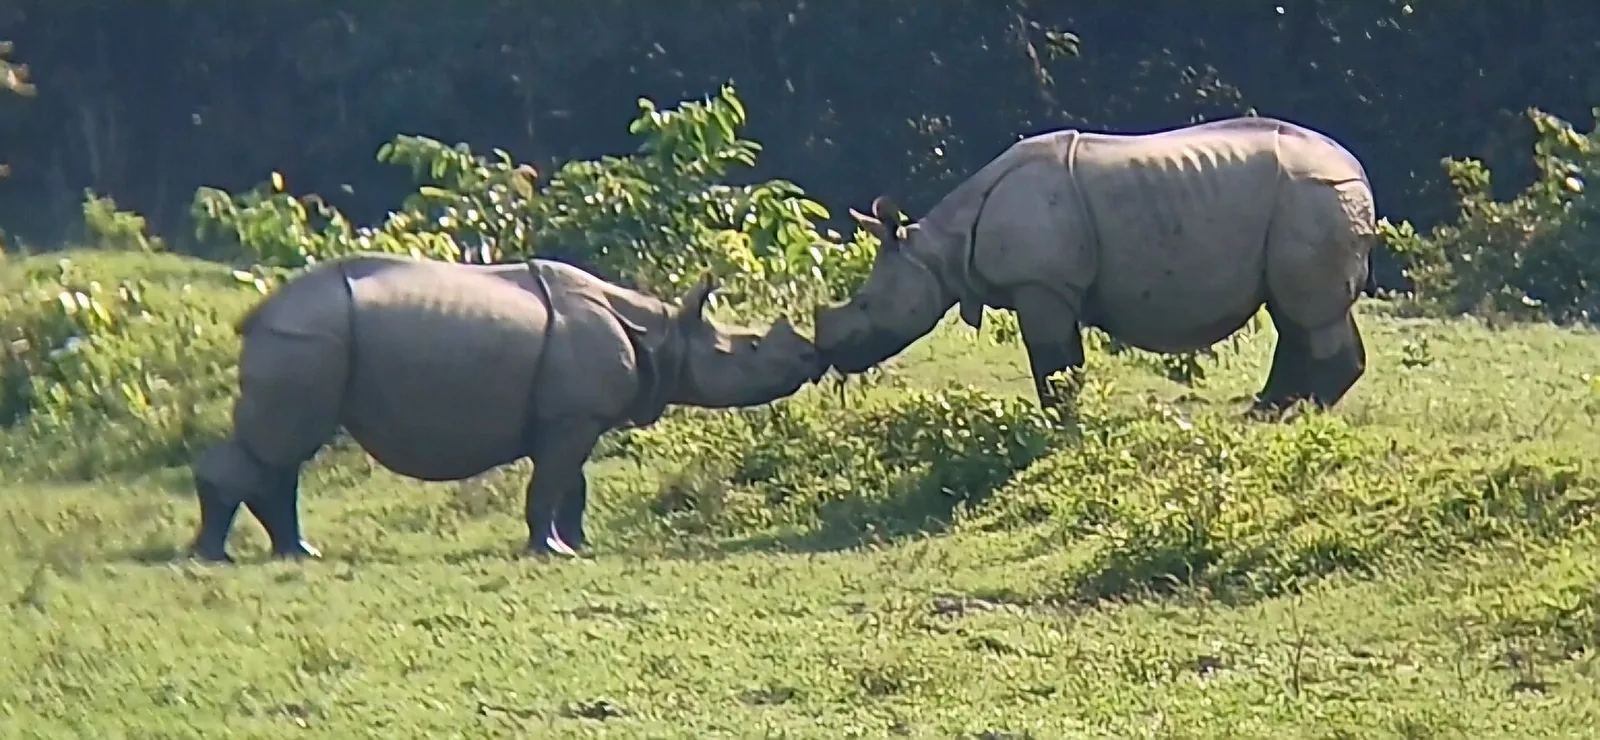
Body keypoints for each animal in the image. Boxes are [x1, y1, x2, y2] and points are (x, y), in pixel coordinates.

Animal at [188, 253, 824, 564]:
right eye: (753, 347)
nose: (810, 358)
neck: (664, 331)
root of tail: (260, 313)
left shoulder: (572, 417)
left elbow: (572, 485)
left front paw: (577, 545)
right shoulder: (571, 419)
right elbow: (551, 483)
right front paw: (553, 553)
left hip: (310, 339)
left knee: (282, 453)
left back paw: (294, 554)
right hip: (309, 337)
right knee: (283, 445)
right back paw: (216, 559)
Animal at [814, 116, 1376, 413]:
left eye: (865, 305)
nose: (833, 357)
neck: (939, 250)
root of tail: (1355, 167)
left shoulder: (1042, 283)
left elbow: (1052, 357)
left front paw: (1058, 418)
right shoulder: (1048, 285)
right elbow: (1062, 358)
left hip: (1310, 195)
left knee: (1309, 310)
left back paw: (1300, 409)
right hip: (1302, 204)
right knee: (1294, 309)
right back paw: (1269, 409)